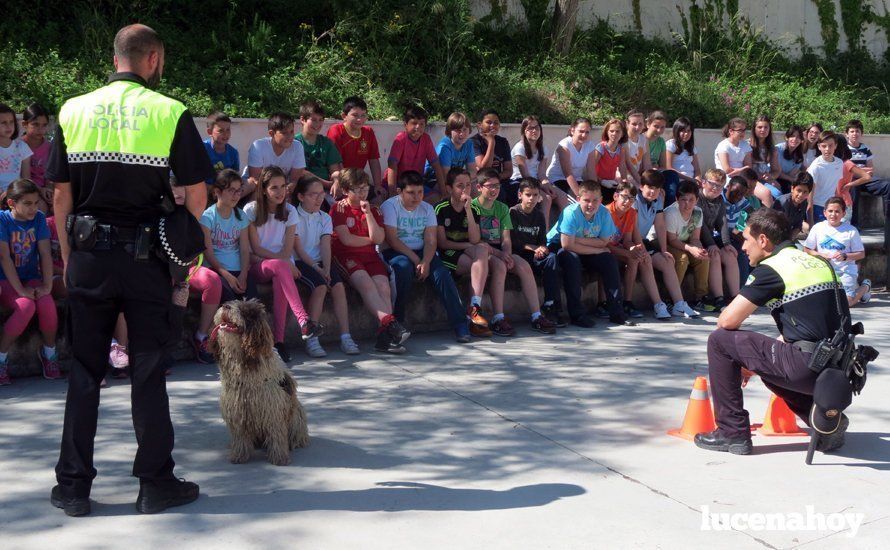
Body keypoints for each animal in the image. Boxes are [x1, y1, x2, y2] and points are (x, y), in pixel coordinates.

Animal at [208, 302, 308, 466]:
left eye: (244, 311)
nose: (226, 305)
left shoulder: (272, 410)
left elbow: (277, 435)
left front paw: (279, 458)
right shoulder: (237, 409)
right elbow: (240, 437)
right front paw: (239, 455)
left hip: (296, 418)